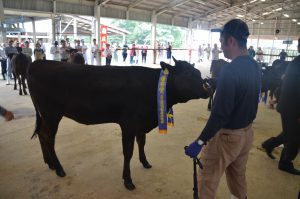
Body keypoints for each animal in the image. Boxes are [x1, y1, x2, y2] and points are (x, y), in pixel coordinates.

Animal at [27, 56, 209, 190]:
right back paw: (58, 168)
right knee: (48, 137)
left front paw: (145, 162)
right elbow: (128, 152)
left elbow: (141, 143)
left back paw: (50, 163)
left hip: (46, 115)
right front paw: (128, 180)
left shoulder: (140, 123)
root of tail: (38, 63)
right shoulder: (128, 123)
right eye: (188, 75)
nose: (208, 86)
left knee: (42, 134)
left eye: (198, 72)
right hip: (52, 114)